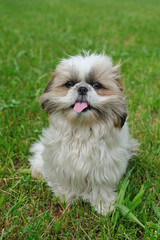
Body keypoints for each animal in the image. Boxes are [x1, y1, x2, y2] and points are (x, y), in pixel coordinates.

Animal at [28, 52, 137, 216]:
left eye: (97, 85)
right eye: (69, 84)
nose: (82, 88)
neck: (83, 129)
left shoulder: (103, 168)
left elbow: (100, 187)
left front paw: (104, 205)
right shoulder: (63, 163)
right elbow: (66, 182)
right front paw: (66, 197)